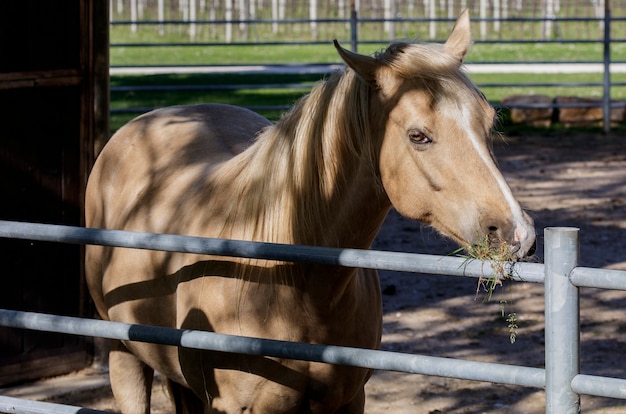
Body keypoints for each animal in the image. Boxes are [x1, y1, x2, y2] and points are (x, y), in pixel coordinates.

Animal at [84, 12, 532, 414]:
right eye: (418, 136)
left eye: (489, 121)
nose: (516, 232)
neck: (288, 278)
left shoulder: (349, 400)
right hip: (124, 355)